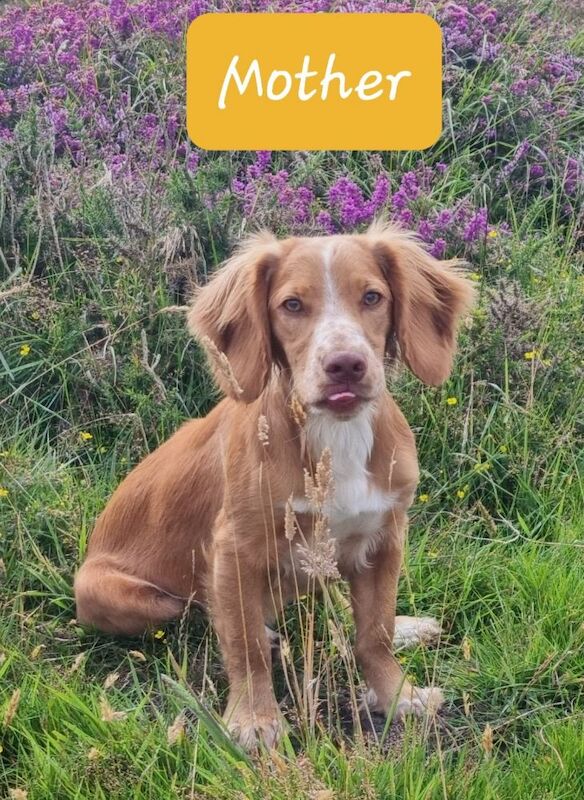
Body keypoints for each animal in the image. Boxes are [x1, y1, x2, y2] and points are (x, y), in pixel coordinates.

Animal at [74, 220, 474, 752]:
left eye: (372, 297)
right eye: (292, 305)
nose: (345, 365)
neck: (335, 437)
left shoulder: (385, 537)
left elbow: (375, 630)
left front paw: (398, 695)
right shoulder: (233, 549)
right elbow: (243, 643)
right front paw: (255, 720)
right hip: (118, 594)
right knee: (210, 612)